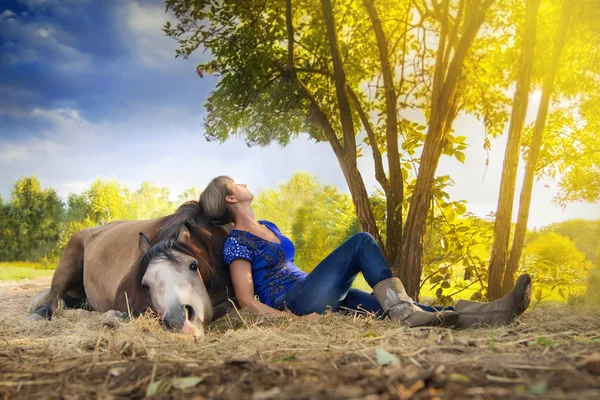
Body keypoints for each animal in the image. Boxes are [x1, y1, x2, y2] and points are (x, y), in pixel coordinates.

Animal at [27, 200, 234, 334]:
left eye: (193, 265)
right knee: (53, 300)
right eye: (145, 285)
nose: (179, 321)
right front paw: (114, 317)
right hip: (66, 266)